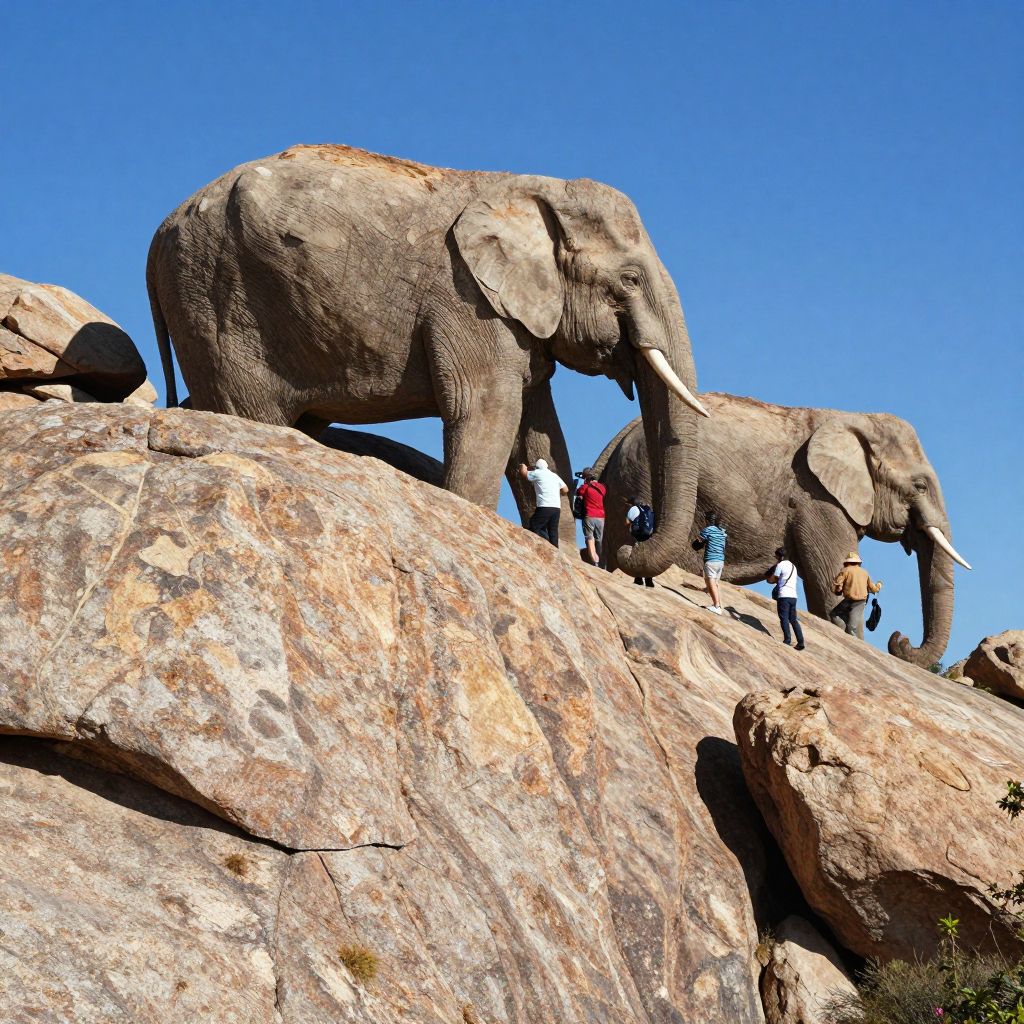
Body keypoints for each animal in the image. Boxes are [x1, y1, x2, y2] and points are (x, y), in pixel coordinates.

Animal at [147, 143, 709, 577]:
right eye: (629, 280)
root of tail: (157, 237)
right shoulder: (466, 300)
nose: (629, 547)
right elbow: (486, 411)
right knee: (251, 412)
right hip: (215, 302)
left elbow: (539, 430)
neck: (537, 191)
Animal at [594, 393, 970, 667]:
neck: (854, 418)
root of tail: (619, 436)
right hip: (644, 477)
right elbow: (829, 588)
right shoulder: (816, 498)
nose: (899, 640)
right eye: (920, 487)